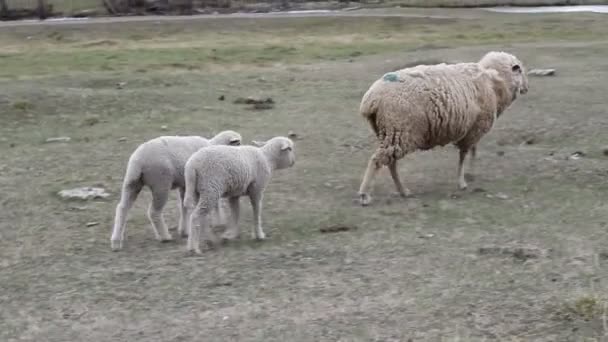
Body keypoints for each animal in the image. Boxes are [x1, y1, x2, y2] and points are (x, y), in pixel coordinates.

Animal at [109, 130, 242, 250]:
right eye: (238, 144)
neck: (213, 144)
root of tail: (137, 162)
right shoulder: (211, 178)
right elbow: (214, 204)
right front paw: (219, 222)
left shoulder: (185, 185)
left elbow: (184, 207)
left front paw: (184, 230)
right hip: (160, 183)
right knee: (154, 212)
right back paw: (164, 237)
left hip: (132, 184)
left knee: (122, 208)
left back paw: (116, 242)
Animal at [356, 51, 528, 206]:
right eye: (520, 70)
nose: (526, 88)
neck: (494, 82)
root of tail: (371, 99)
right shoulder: (474, 128)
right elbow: (465, 154)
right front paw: (463, 180)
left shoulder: (473, 128)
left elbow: (472, 151)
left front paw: (469, 174)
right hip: (400, 130)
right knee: (377, 160)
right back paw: (364, 195)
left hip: (391, 132)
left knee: (391, 162)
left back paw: (403, 191)